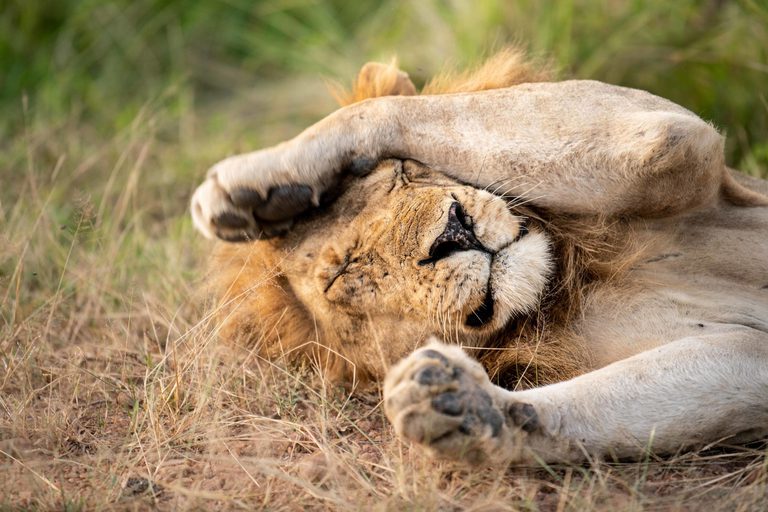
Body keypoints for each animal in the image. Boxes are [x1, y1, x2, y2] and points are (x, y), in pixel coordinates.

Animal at [190, 49, 768, 464]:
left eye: (401, 172)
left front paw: (249, 184)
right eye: (345, 274)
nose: (454, 232)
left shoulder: (680, 148)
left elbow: (383, 108)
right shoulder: (747, 354)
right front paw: (467, 409)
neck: (576, 274)